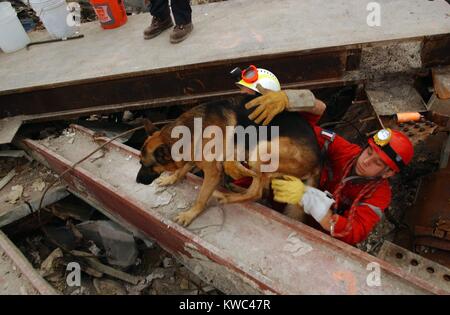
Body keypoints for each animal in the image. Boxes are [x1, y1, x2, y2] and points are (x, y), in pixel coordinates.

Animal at [134, 96, 320, 227]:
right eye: (140, 163)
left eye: (146, 165)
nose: (137, 181)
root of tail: (320, 160)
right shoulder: (192, 155)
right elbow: (182, 169)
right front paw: (170, 178)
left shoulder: (212, 172)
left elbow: (201, 197)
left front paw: (189, 214)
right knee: (262, 188)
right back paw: (235, 188)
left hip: (261, 150)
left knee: (257, 191)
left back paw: (225, 196)